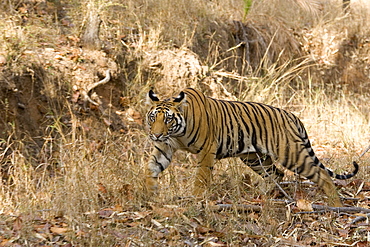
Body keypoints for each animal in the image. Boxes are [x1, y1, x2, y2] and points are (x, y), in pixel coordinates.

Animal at [145, 87, 358, 206]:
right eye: (153, 118)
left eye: (168, 119)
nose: (156, 134)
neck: (176, 133)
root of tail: (292, 115)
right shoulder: (164, 147)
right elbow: (151, 168)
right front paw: (148, 194)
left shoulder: (206, 150)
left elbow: (201, 178)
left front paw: (196, 199)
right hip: (254, 157)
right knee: (277, 174)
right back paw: (264, 195)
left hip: (291, 153)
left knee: (322, 175)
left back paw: (336, 204)